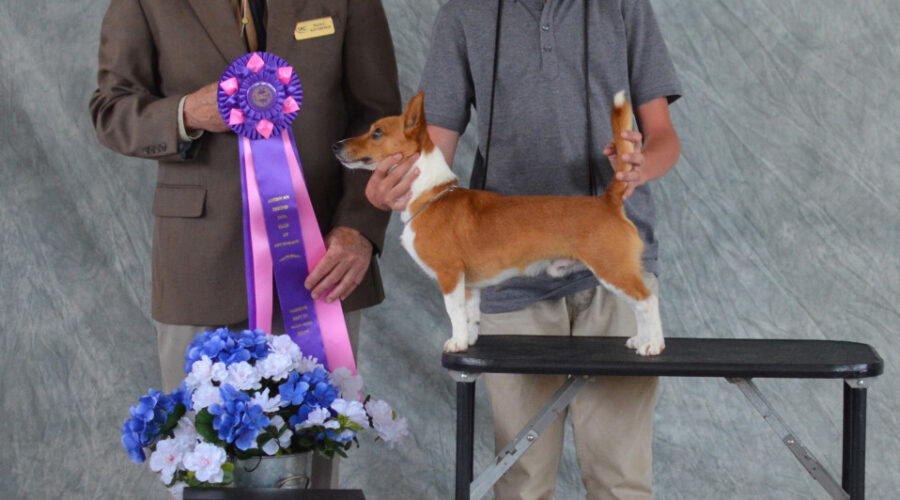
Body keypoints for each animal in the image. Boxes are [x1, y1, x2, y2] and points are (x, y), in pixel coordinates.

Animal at [334, 93, 664, 356]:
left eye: (376, 132)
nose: (336, 145)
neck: (430, 192)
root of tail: (608, 200)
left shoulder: (450, 276)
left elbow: (453, 312)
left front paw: (456, 342)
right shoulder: (468, 286)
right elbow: (469, 315)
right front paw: (468, 340)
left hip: (612, 270)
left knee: (647, 301)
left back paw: (654, 345)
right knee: (640, 304)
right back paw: (640, 340)